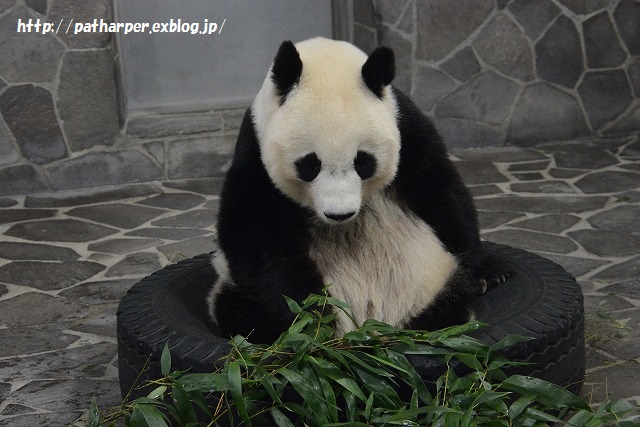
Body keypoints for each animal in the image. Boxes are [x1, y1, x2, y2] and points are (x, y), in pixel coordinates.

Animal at [208, 37, 508, 344]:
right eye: (310, 164)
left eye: (363, 161)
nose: (339, 214)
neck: (325, 60)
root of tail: (370, 326)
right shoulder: (255, 151)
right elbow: (256, 234)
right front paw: (313, 316)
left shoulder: (406, 126)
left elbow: (440, 192)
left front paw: (488, 273)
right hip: (230, 291)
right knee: (239, 311)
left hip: (429, 280)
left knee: (449, 297)